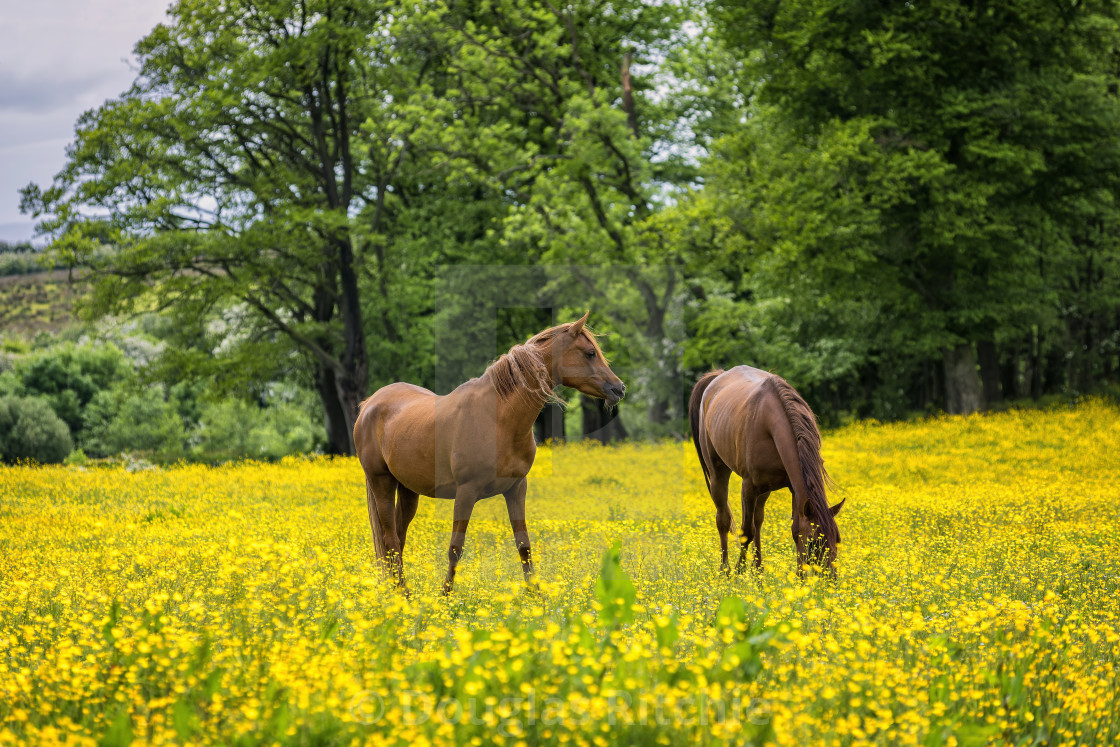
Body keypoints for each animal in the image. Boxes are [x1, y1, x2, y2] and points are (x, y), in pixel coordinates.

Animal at [356, 313, 627, 595]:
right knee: (390, 538)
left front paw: (536, 597)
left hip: (409, 490)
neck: (499, 419)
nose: (619, 388)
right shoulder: (465, 493)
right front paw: (445, 597)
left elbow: (524, 546)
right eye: (589, 353)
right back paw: (404, 595)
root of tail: (369, 404)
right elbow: (455, 549)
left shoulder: (517, 489)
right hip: (381, 482)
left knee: (398, 538)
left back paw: (399, 593)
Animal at [685, 369, 842, 577]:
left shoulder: (793, 488)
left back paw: (758, 570)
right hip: (718, 473)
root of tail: (718, 376)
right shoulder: (748, 487)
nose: (829, 579)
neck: (771, 423)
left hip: (764, 489)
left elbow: (793, 528)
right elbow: (746, 532)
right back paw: (725, 570)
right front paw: (739, 572)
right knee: (724, 520)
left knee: (758, 520)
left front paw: (799, 578)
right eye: (813, 542)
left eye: (837, 541)